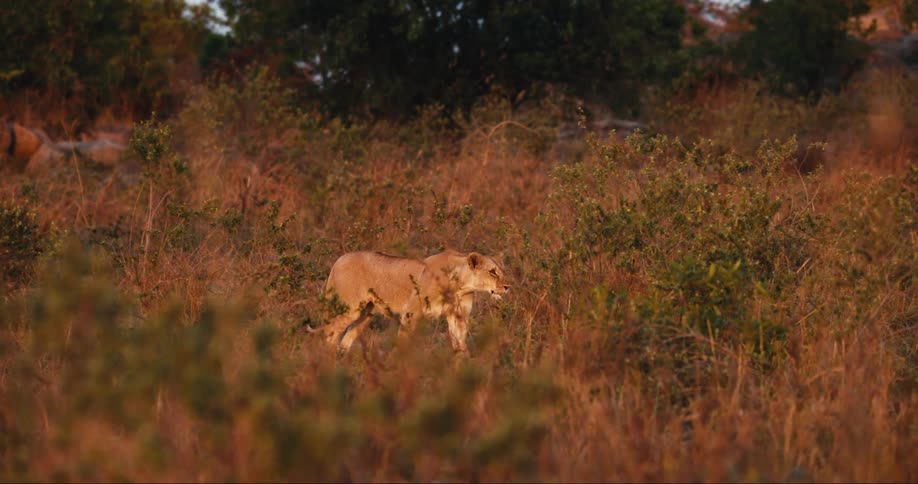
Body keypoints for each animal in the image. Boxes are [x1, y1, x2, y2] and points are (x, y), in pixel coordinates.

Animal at [308, 249, 510, 355]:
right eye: (492, 272)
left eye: (502, 271)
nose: (507, 287)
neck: (461, 285)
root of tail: (340, 258)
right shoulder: (411, 314)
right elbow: (403, 344)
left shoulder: (458, 317)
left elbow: (460, 346)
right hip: (349, 309)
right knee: (329, 333)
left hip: (367, 312)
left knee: (347, 337)